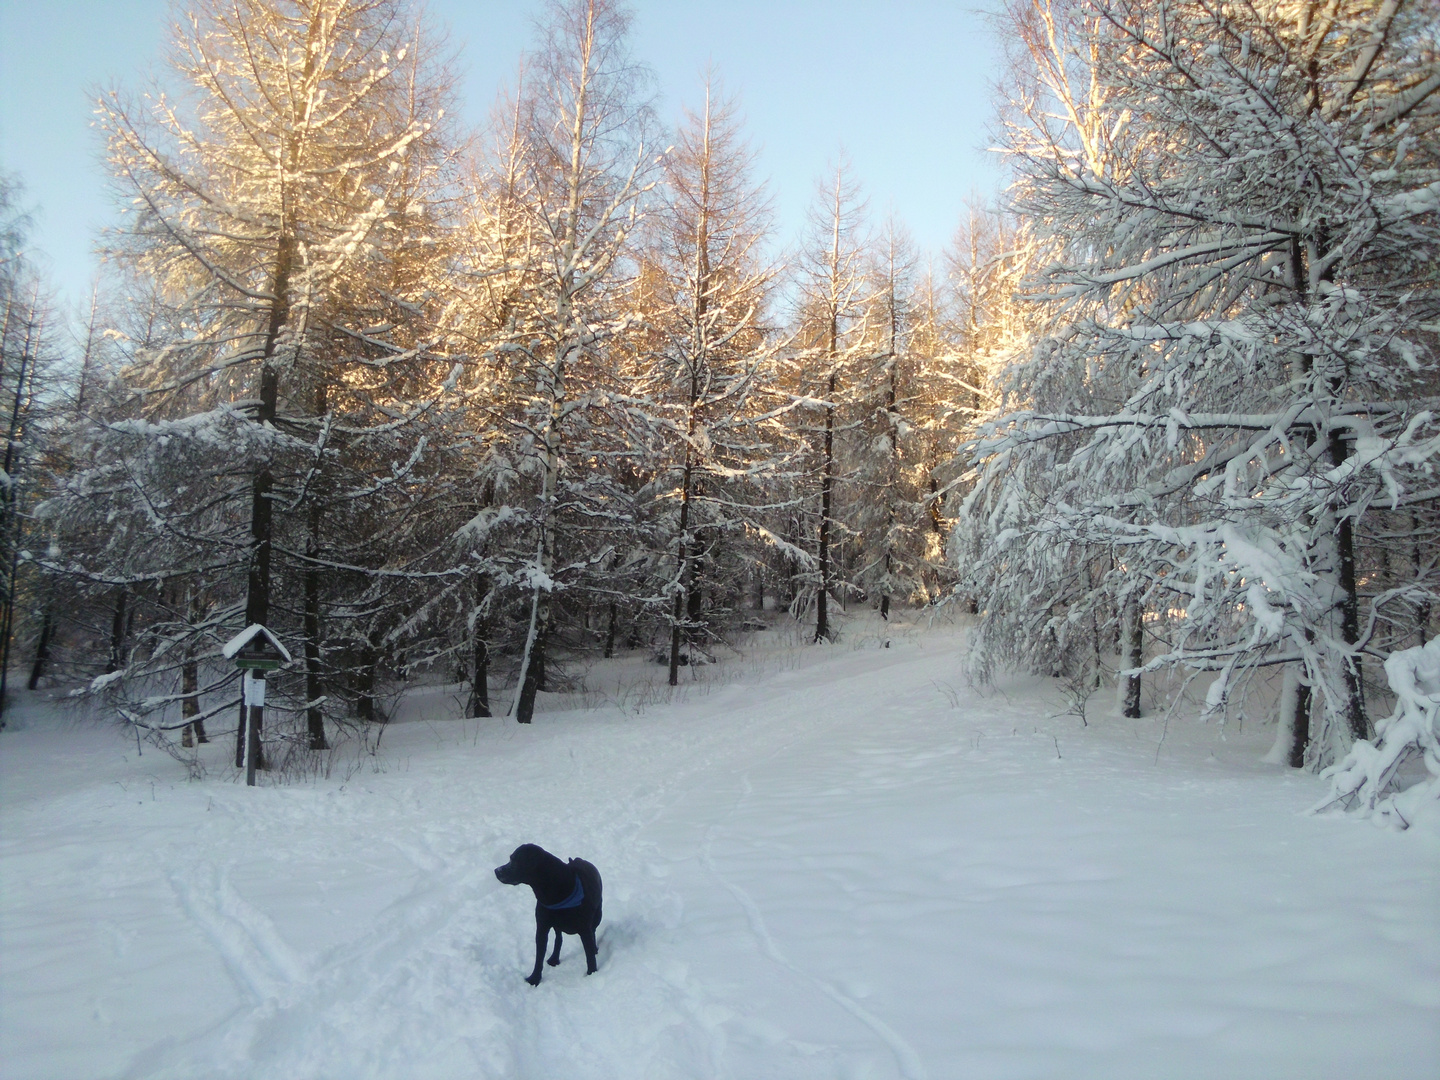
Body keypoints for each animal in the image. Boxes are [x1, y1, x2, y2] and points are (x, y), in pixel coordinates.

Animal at [495, 846, 601, 990]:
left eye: (514, 860)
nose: (496, 870)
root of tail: (578, 859)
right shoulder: (542, 928)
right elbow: (539, 957)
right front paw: (534, 979)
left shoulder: (584, 929)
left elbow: (589, 954)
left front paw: (592, 973)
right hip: (556, 924)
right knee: (559, 938)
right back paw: (554, 958)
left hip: (597, 916)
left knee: (593, 931)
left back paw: (595, 949)